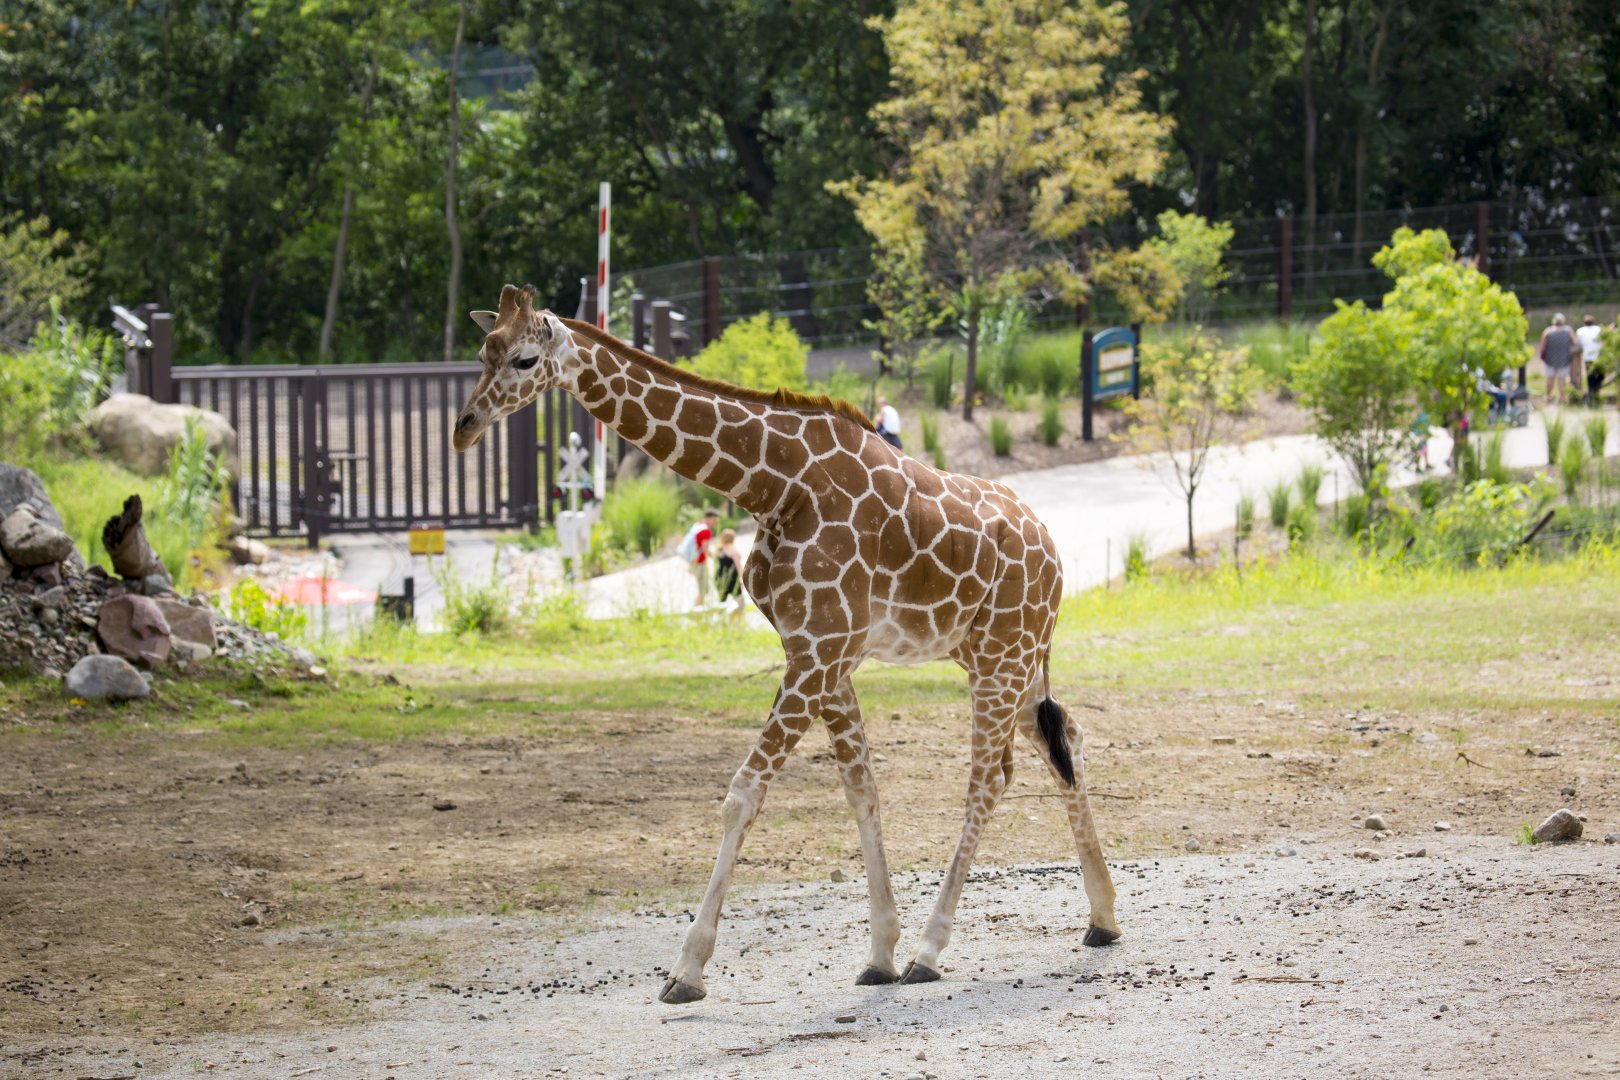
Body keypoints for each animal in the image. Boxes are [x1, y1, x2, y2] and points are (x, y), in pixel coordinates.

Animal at [453, 284, 1120, 1005]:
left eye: (524, 359)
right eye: (481, 351)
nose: (463, 427)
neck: (772, 483)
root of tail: (1052, 550)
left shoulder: (819, 649)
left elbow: (743, 793)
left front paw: (687, 969)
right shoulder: (822, 650)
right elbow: (860, 789)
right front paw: (877, 954)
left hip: (1002, 654)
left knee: (989, 779)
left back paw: (932, 950)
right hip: (1001, 655)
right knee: (1065, 739)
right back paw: (1102, 918)